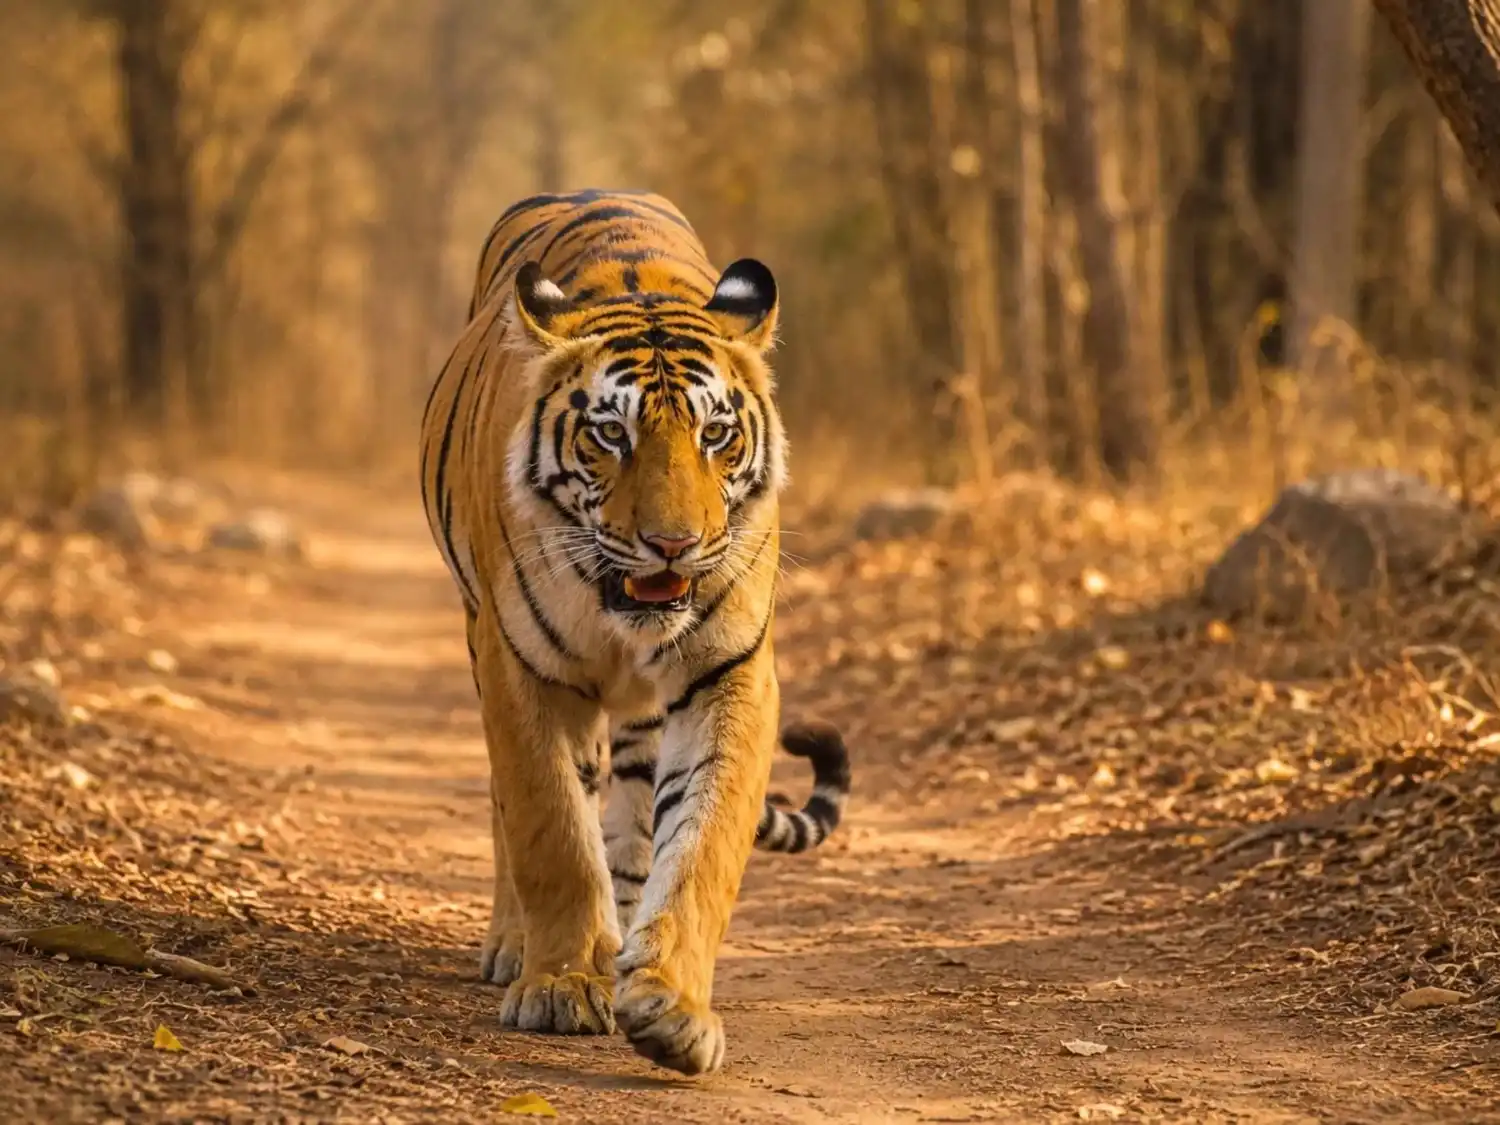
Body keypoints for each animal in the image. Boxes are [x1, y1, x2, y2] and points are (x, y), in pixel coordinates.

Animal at [418, 188, 852, 1076]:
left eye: (716, 433)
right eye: (610, 433)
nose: (674, 544)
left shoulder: (731, 674)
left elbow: (700, 844)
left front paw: (671, 1004)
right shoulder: (519, 667)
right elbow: (548, 824)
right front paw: (559, 986)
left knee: (629, 820)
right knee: (520, 811)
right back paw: (520, 947)